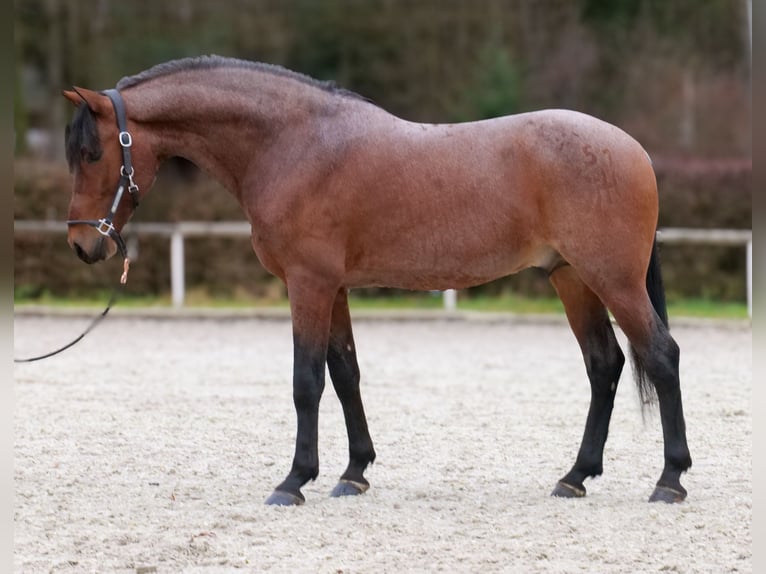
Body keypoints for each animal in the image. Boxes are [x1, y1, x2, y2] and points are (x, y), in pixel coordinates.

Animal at [62, 55, 691, 506]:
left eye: (91, 152)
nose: (82, 245)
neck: (293, 144)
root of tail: (632, 149)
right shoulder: (333, 287)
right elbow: (345, 374)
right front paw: (353, 472)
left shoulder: (308, 285)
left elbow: (306, 381)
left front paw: (294, 481)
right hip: (572, 279)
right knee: (604, 364)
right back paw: (575, 476)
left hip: (612, 280)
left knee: (660, 355)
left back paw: (670, 480)